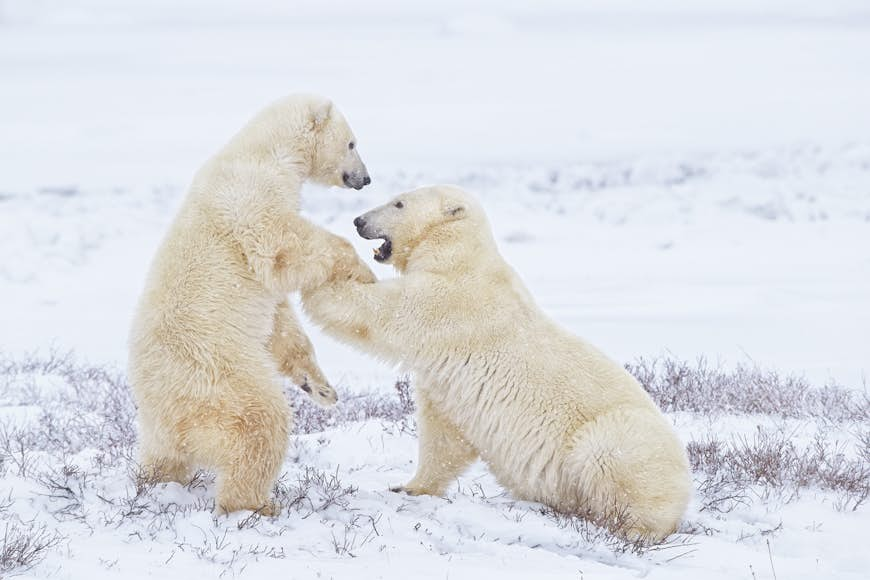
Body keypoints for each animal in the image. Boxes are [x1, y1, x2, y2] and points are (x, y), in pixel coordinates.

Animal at [129, 93, 374, 516]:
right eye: (352, 143)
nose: (365, 178)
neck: (263, 151)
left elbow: (279, 321)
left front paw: (322, 389)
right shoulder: (252, 194)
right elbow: (282, 243)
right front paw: (363, 269)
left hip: (163, 419)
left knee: (162, 456)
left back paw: (157, 480)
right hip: (217, 374)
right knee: (260, 422)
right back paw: (257, 504)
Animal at [306, 187, 696, 544]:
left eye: (399, 203)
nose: (359, 221)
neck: (460, 254)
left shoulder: (453, 300)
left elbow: (384, 312)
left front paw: (318, 276)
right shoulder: (447, 381)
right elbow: (444, 434)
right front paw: (408, 487)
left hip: (624, 439)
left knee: (611, 456)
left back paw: (629, 527)